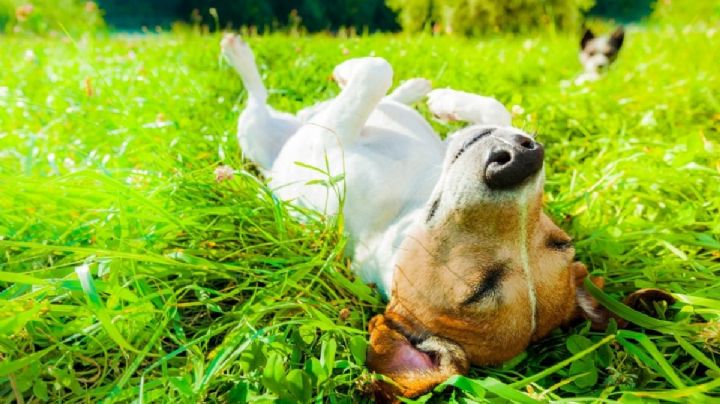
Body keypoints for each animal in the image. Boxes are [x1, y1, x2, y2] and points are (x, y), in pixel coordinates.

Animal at [222, 34, 628, 398]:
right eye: (562, 242)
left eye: (478, 290)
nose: (521, 160)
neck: (410, 201)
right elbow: (493, 108)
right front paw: (448, 102)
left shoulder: (324, 146)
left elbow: (375, 72)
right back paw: (413, 89)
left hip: (256, 134)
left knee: (258, 104)